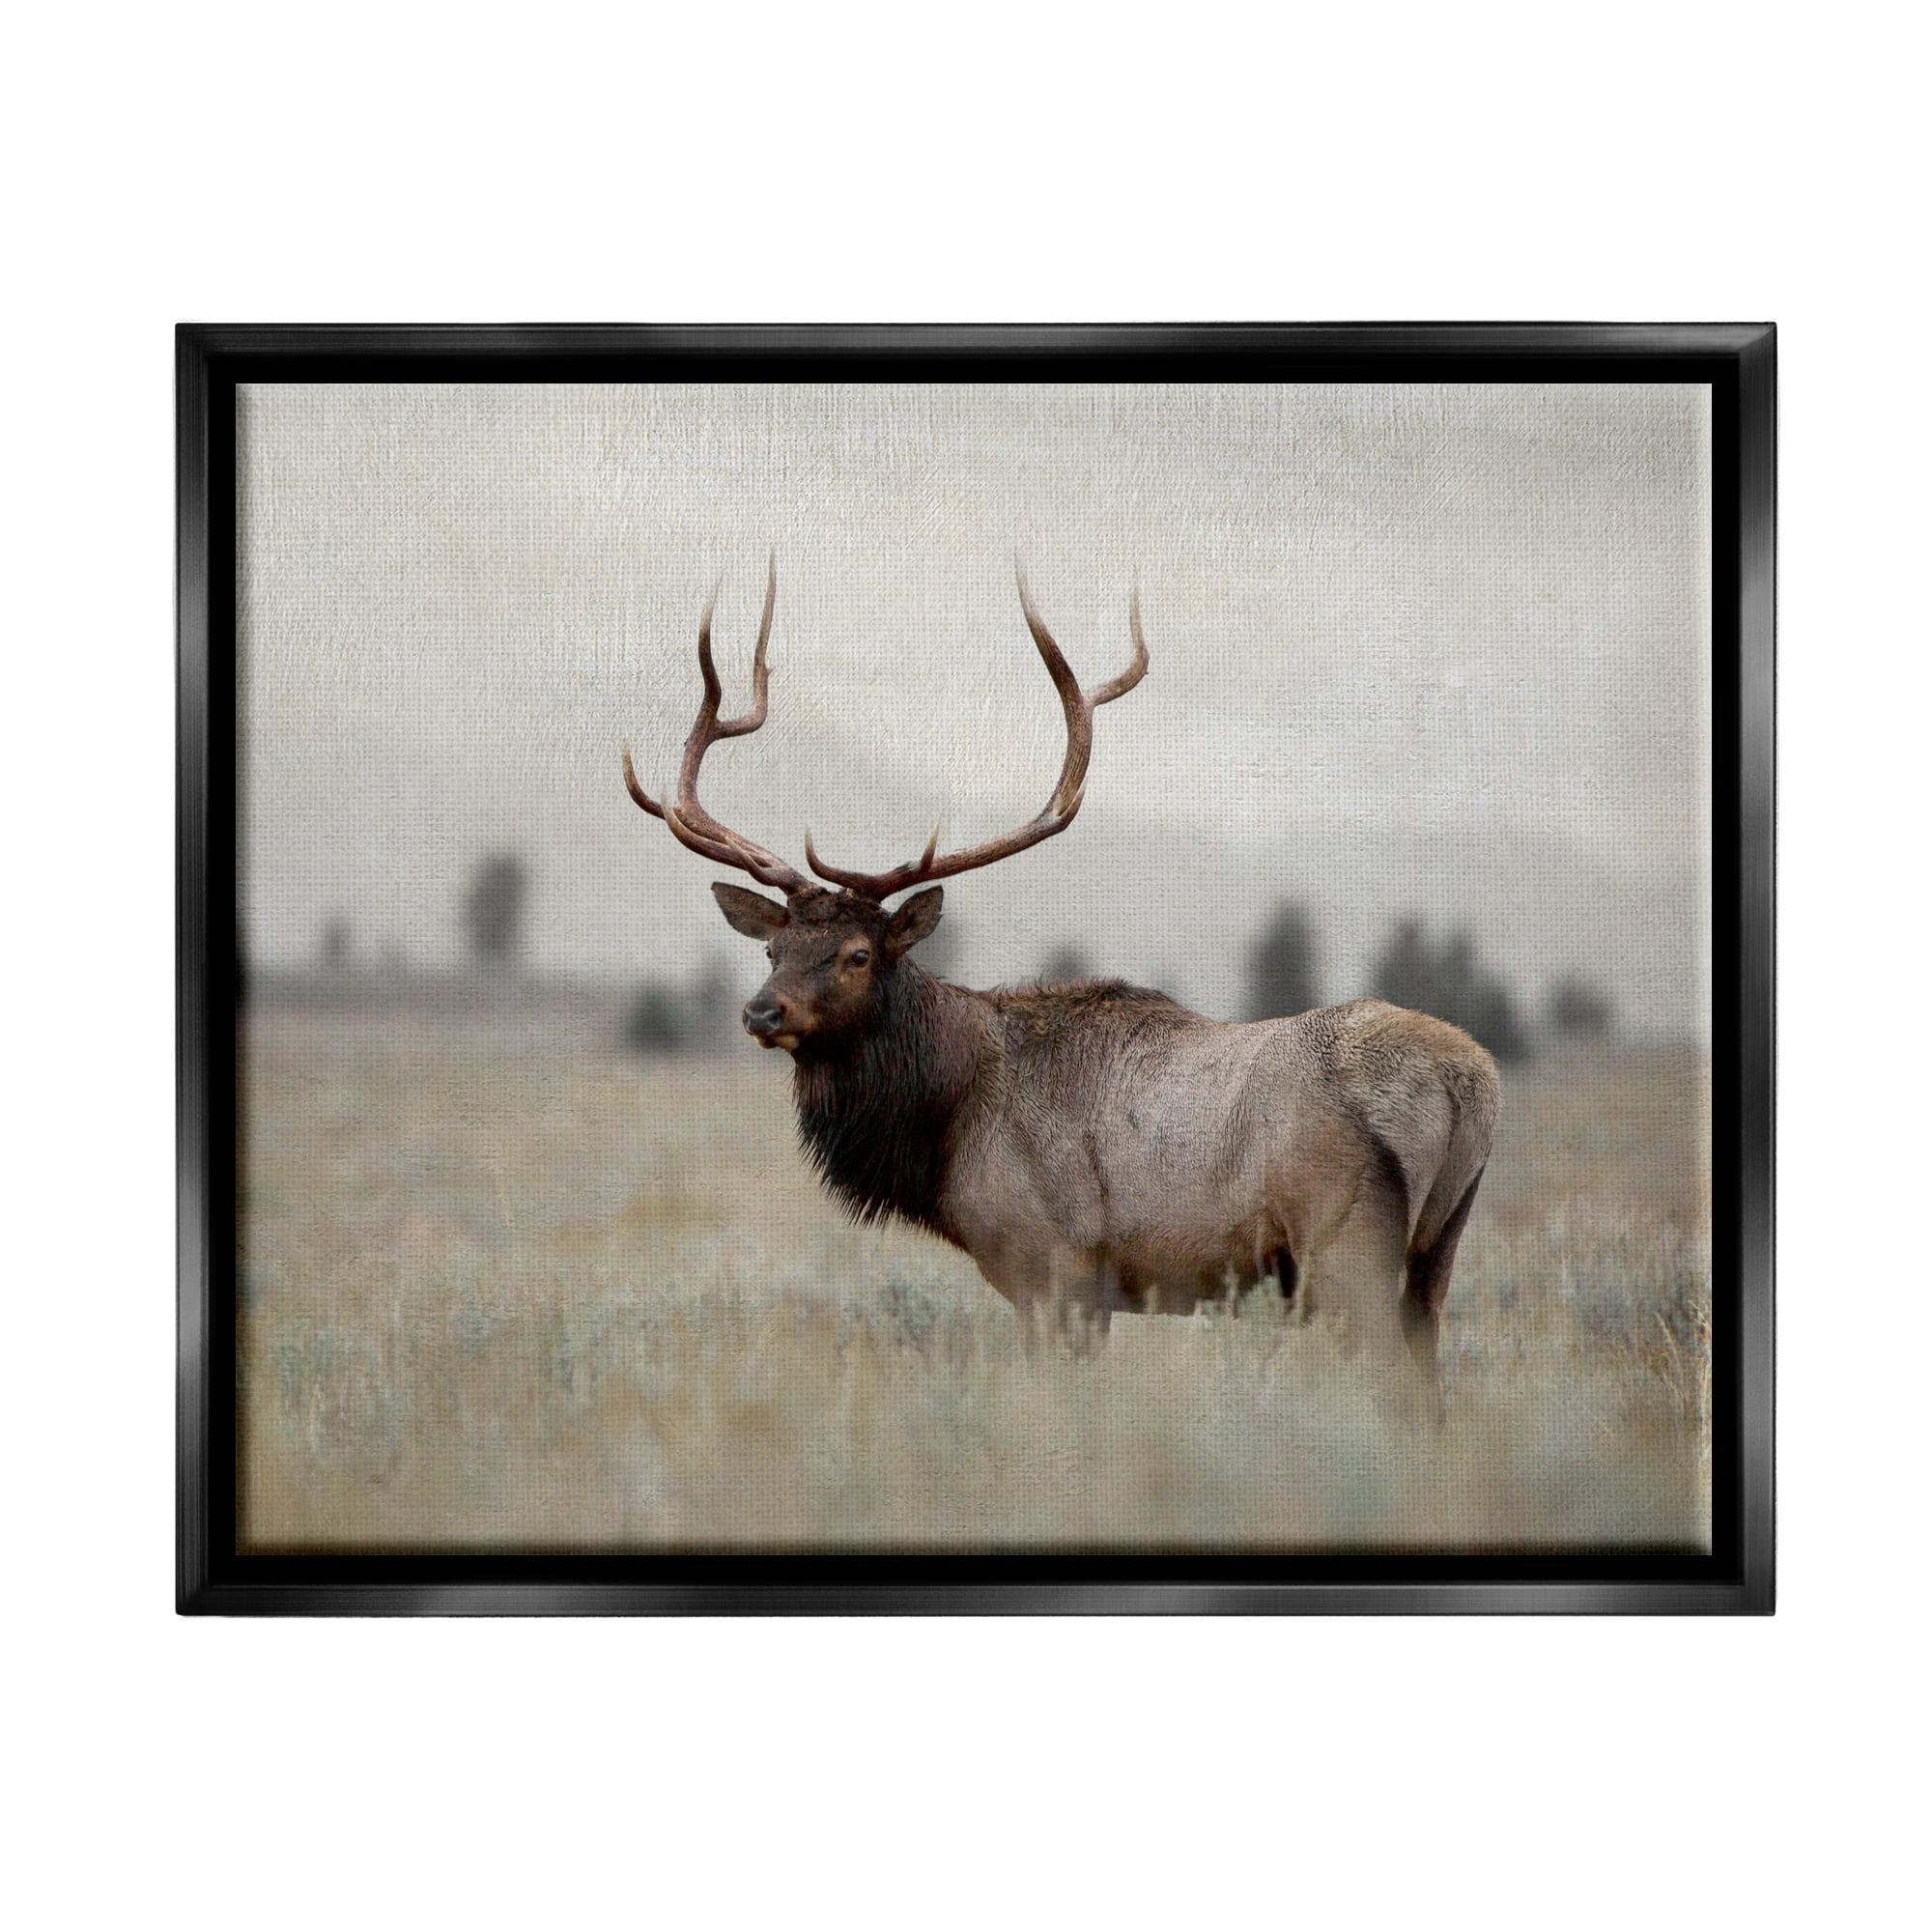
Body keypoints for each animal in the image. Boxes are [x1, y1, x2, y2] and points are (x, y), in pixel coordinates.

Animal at [623, 564, 1500, 1399]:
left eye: (858, 954)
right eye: (773, 950)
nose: (761, 1013)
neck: (948, 1121)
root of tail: (1468, 1081)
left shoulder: (1054, 1265)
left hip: (1345, 1245)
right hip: (1437, 1252)